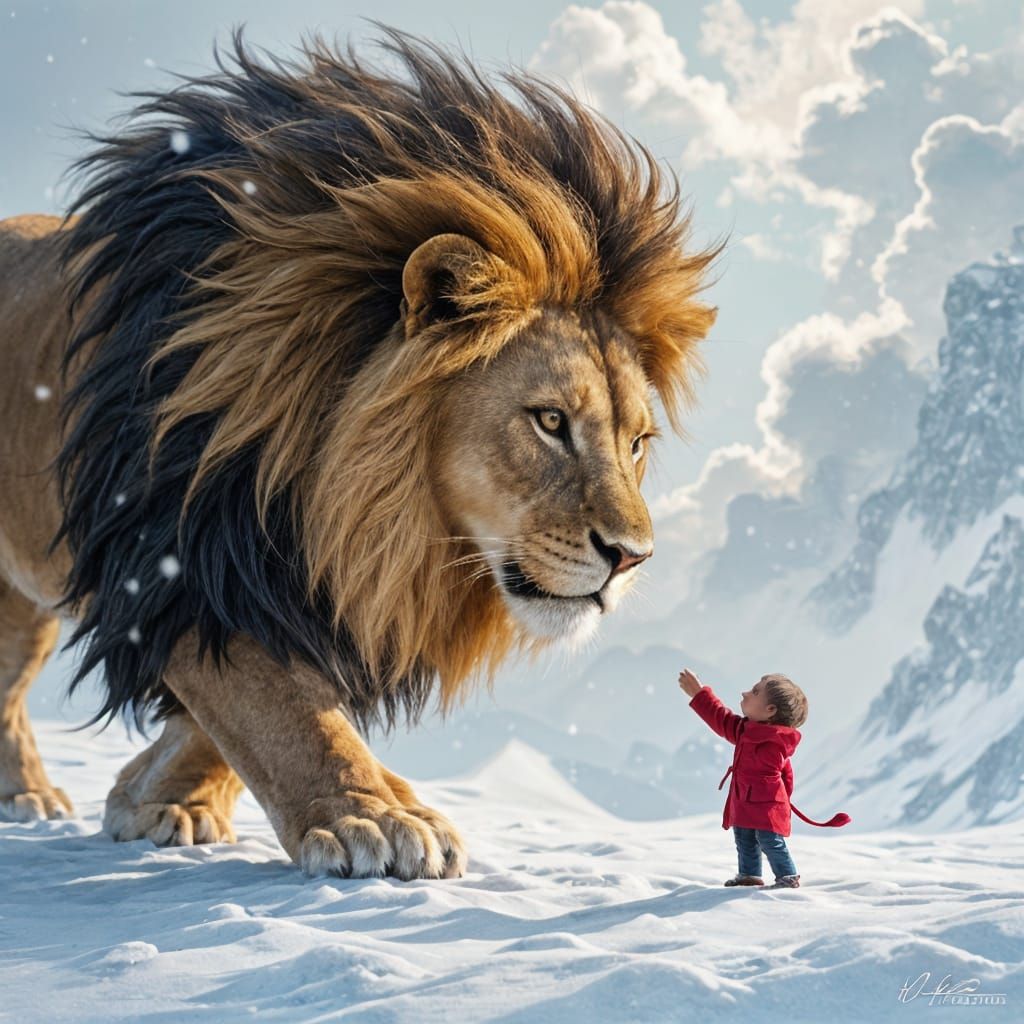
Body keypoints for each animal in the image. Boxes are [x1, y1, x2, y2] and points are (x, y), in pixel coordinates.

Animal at [0, 25, 720, 878]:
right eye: (549, 421)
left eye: (636, 443)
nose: (632, 557)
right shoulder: (178, 546)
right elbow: (279, 706)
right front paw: (370, 817)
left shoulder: (317, 585)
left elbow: (239, 718)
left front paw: (155, 796)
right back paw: (27, 798)